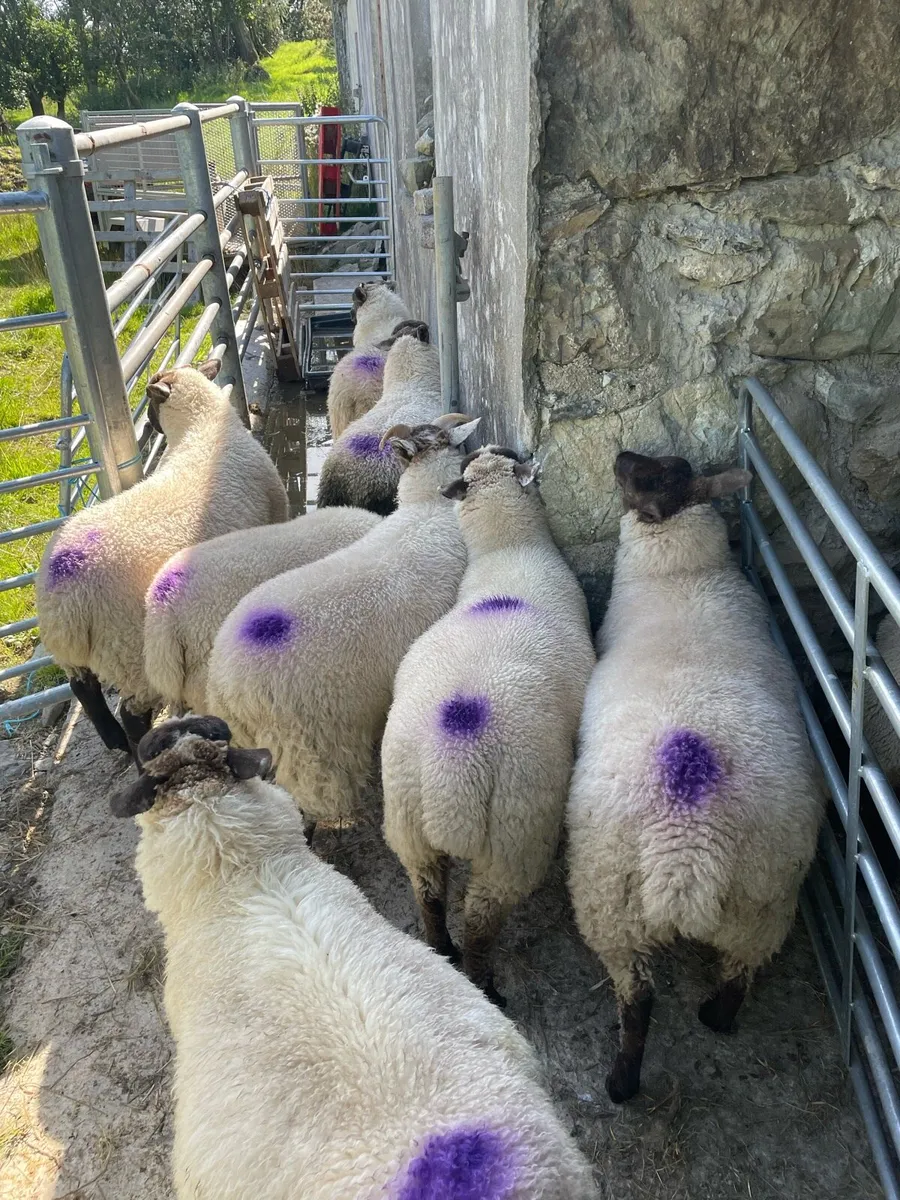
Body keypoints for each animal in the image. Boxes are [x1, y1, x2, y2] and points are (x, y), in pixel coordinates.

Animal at [36, 359, 287, 757]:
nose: (149, 425)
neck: (201, 429)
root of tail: (63, 591)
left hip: (82, 655)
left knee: (84, 689)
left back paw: (114, 741)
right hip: (132, 651)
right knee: (132, 713)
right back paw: (134, 748)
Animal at [382, 447, 595, 1006]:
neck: (508, 551)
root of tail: (452, 771)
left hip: (409, 826)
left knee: (429, 896)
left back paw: (442, 951)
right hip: (513, 843)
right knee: (481, 923)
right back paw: (486, 986)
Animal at [567, 451, 824, 1103]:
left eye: (651, 477)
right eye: (665, 466)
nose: (619, 456)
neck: (680, 575)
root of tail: (687, 848)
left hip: (609, 905)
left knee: (639, 999)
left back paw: (622, 1082)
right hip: (764, 901)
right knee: (740, 972)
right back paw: (712, 1022)